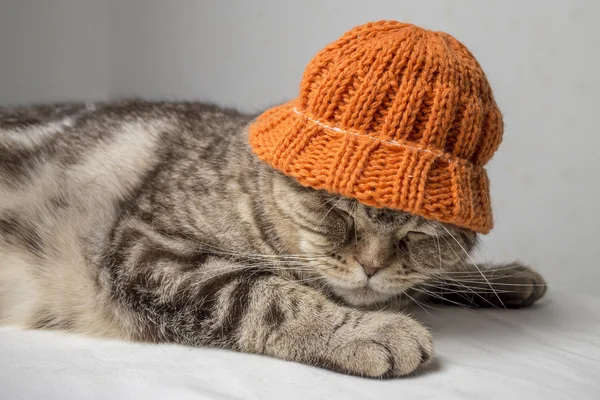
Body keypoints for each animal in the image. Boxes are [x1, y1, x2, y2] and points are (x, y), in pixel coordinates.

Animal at [0, 100, 544, 378]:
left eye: (418, 231)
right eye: (336, 211)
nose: (372, 265)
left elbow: (428, 280)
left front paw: (505, 279)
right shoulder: (148, 248)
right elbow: (267, 295)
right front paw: (370, 331)